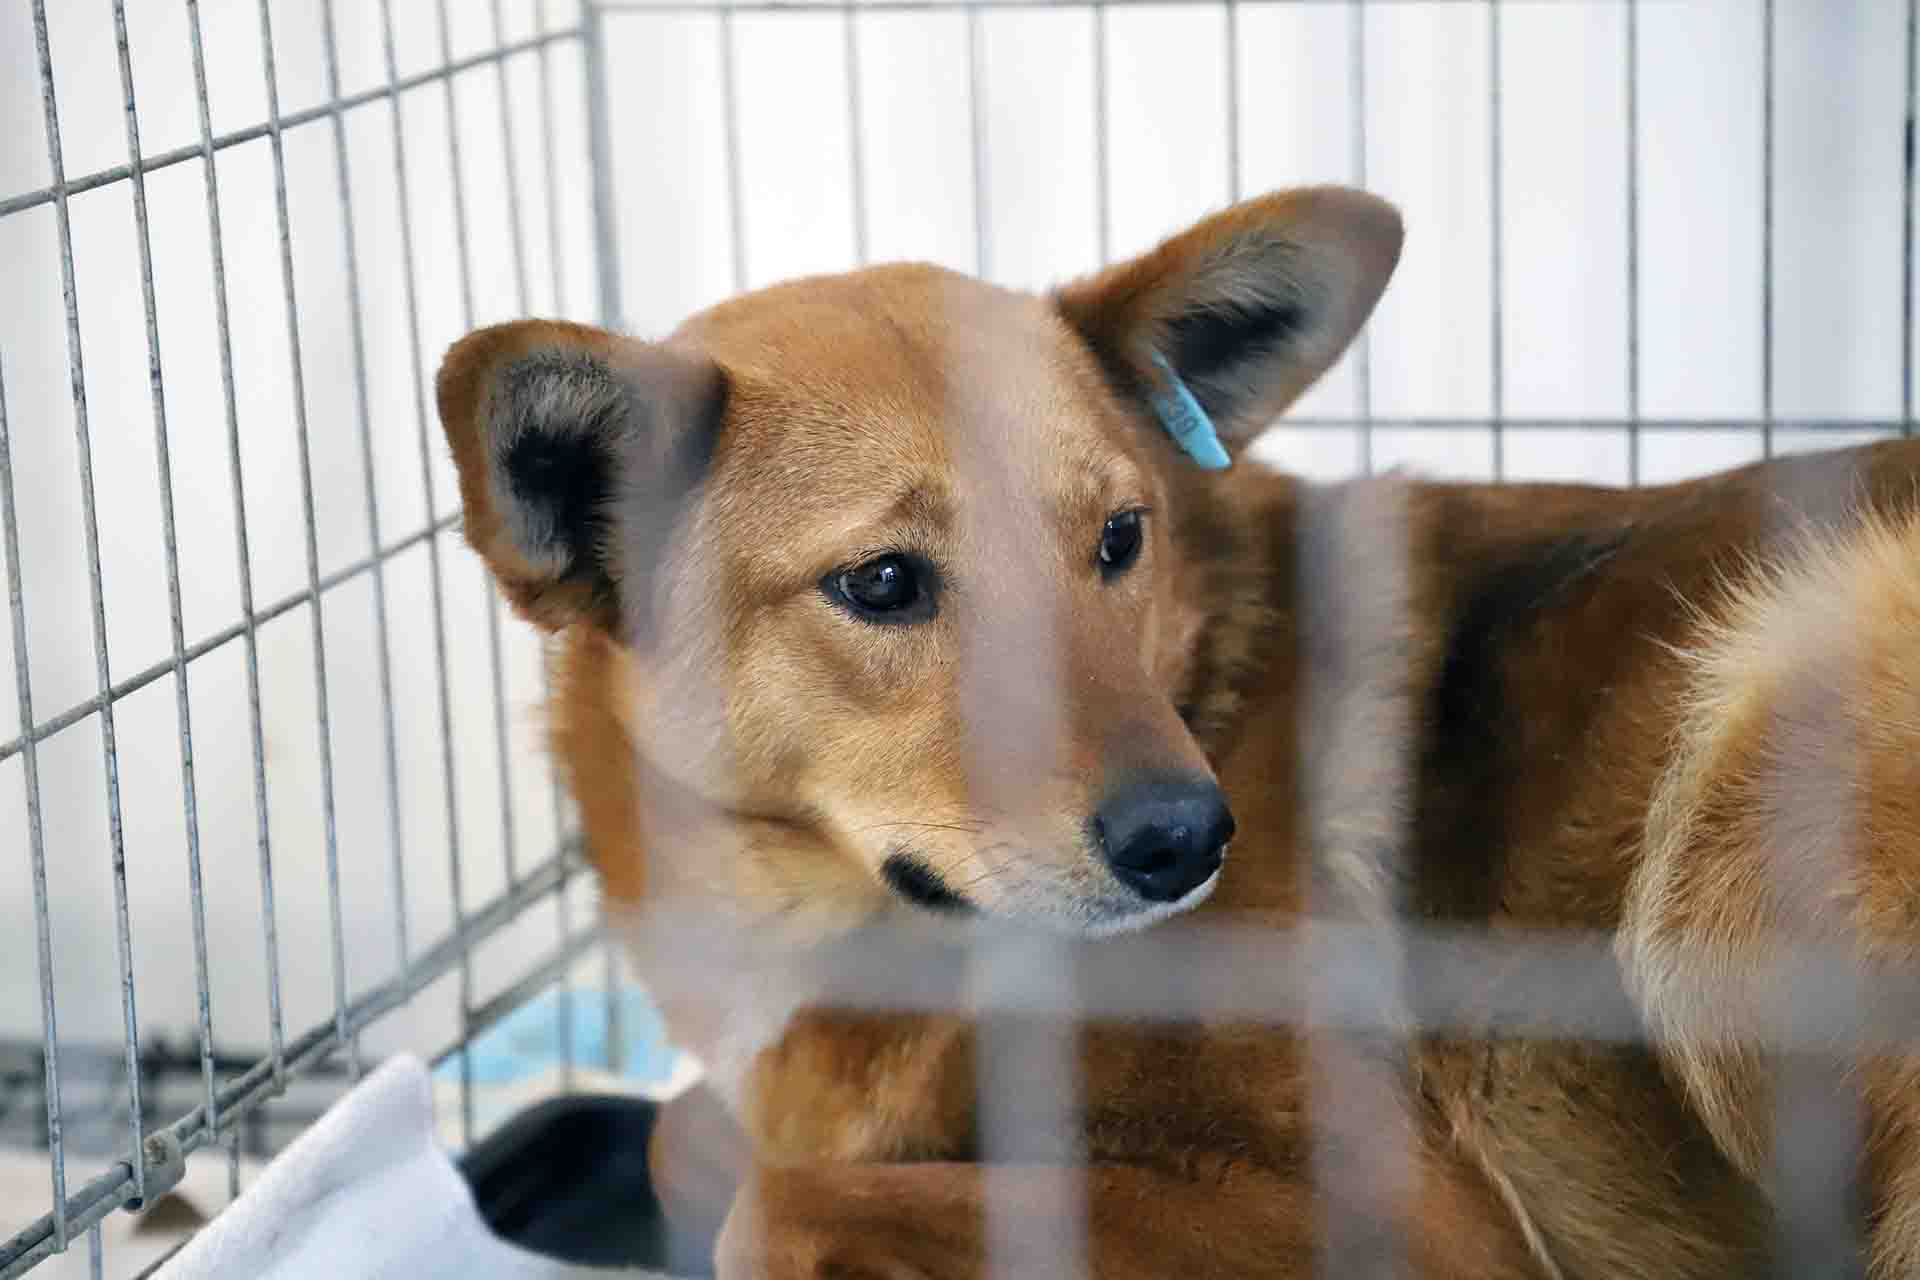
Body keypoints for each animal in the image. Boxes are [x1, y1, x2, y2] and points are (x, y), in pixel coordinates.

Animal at [439, 185, 1920, 1274]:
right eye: (883, 582)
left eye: (1118, 537)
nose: (1190, 839)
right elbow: (687, 1141)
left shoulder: (1395, 1218)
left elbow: (778, 1204)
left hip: (1750, 759)